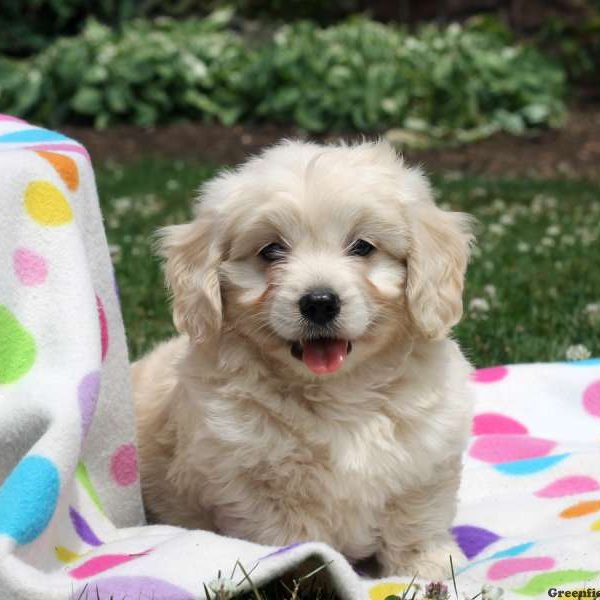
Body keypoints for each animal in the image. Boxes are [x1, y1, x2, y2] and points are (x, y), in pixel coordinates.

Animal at [134, 138, 476, 580]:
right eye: (271, 250)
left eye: (362, 247)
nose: (319, 302)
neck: (340, 393)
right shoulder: (253, 481)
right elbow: (294, 537)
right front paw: (309, 569)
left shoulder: (428, 456)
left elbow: (416, 516)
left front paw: (427, 566)